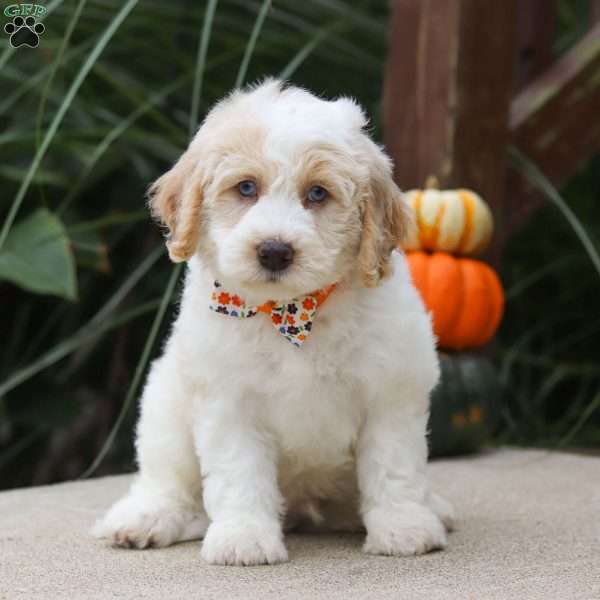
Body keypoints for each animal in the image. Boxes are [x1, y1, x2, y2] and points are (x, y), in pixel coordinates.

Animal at [94, 81, 452, 568]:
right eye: (246, 187)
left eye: (317, 194)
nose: (275, 251)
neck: (293, 312)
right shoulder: (229, 400)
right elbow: (239, 473)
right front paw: (244, 538)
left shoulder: (391, 391)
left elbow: (393, 466)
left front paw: (404, 527)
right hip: (164, 406)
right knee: (170, 483)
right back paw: (145, 520)